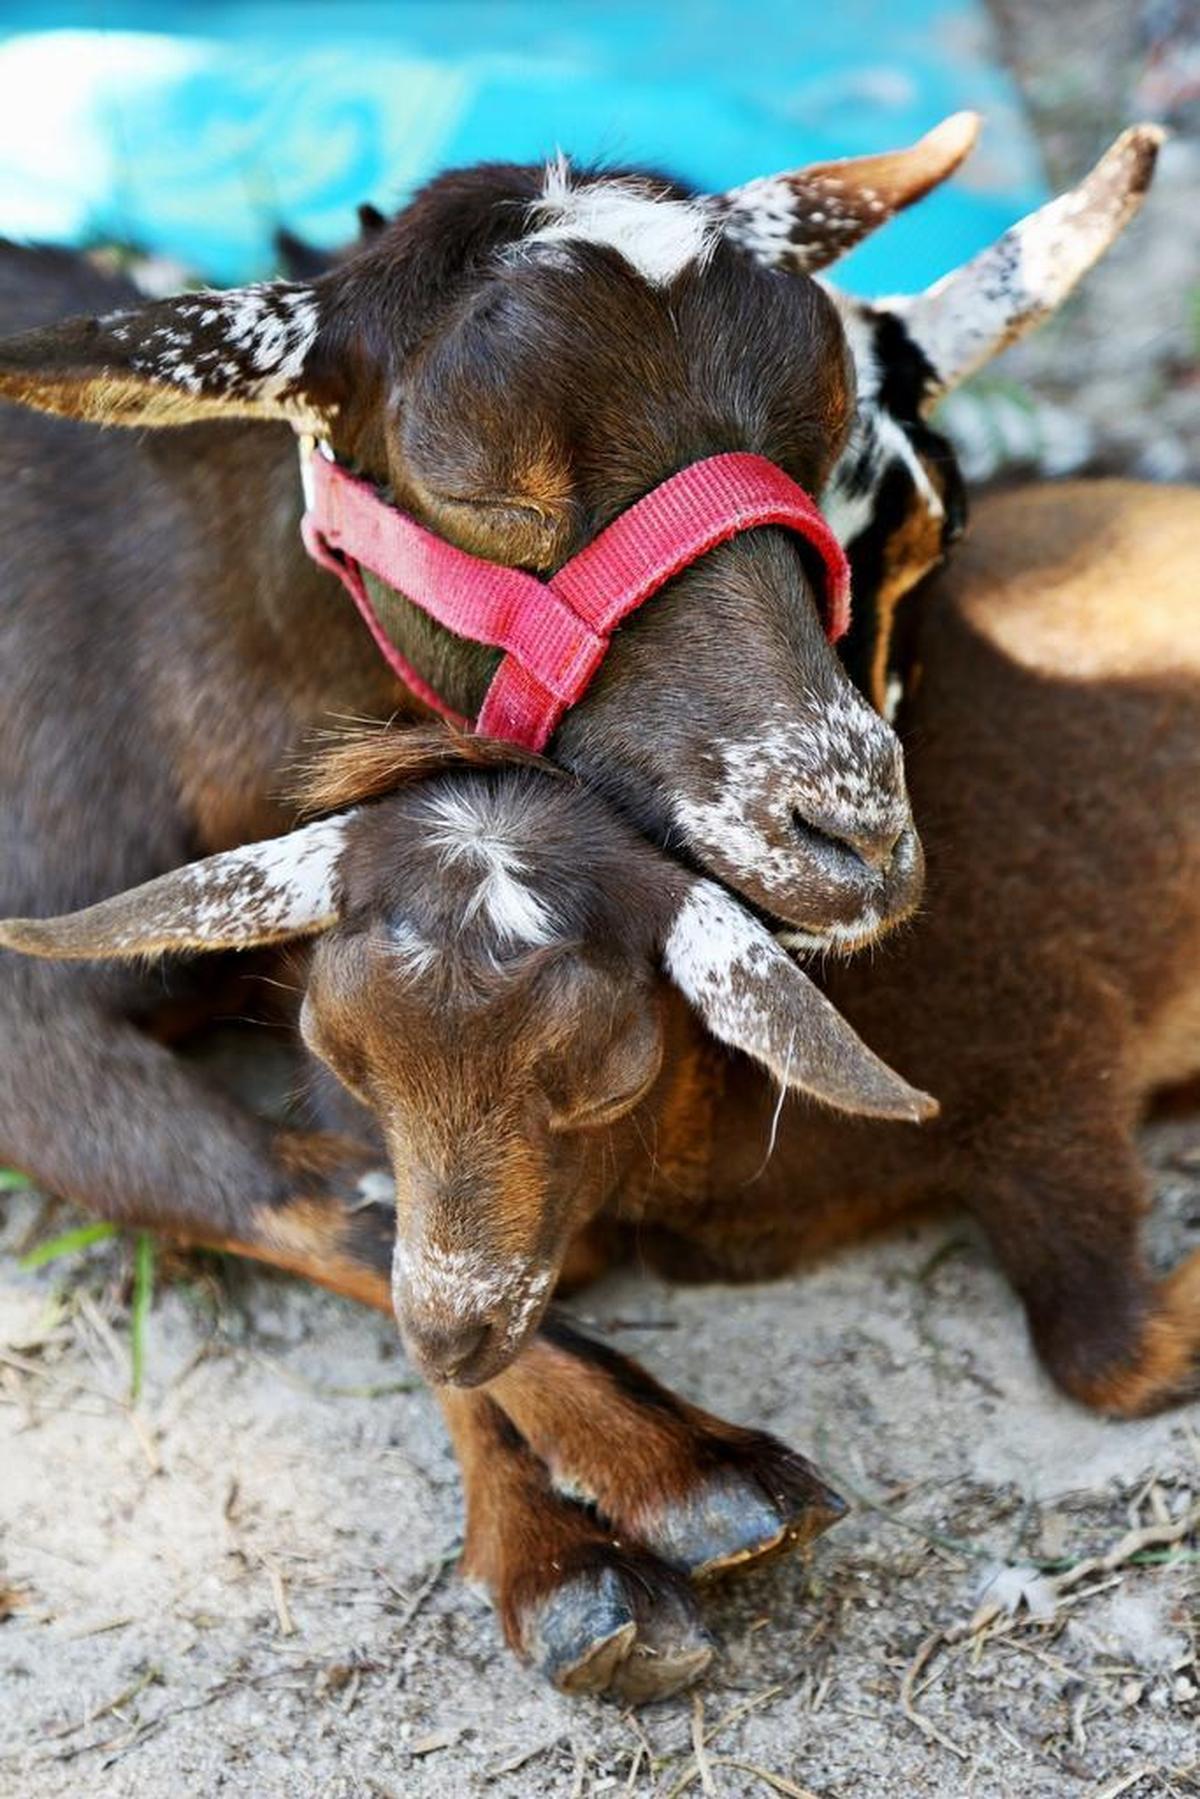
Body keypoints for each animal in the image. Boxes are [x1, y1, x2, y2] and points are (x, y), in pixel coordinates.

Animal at [10, 479, 1199, 1698]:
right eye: (335, 1052)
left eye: (611, 1072)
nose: (443, 1334)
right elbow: (368, 1221)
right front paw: (581, 1556)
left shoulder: (1043, 1050)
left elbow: (1110, 1346)